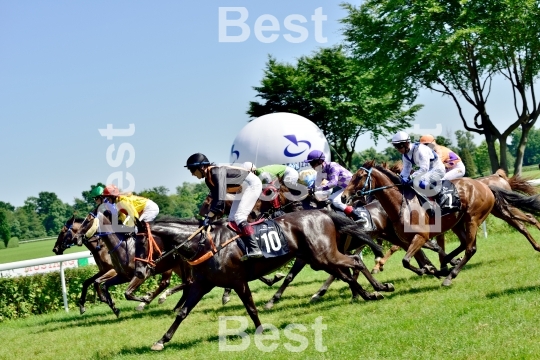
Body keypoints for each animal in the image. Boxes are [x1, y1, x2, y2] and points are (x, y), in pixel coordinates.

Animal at [146, 210, 394, 350]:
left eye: (140, 241)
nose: (141, 271)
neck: (206, 244)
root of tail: (324, 213)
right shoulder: (202, 284)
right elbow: (182, 312)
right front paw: (161, 340)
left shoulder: (238, 281)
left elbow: (251, 308)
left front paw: (261, 330)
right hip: (318, 259)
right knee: (346, 273)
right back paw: (370, 293)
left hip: (325, 255)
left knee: (355, 261)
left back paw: (380, 287)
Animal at [344, 162, 496, 286]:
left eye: (359, 177)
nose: (344, 196)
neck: (401, 204)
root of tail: (484, 185)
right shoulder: (407, 239)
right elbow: (413, 259)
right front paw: (430, 269)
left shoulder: (421, 236)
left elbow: (406, 260)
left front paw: (429, 269)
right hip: (457, 223)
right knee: (464, 244)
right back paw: (447, 263)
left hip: (472, 219)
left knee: (470, 249)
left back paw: (450, 275)